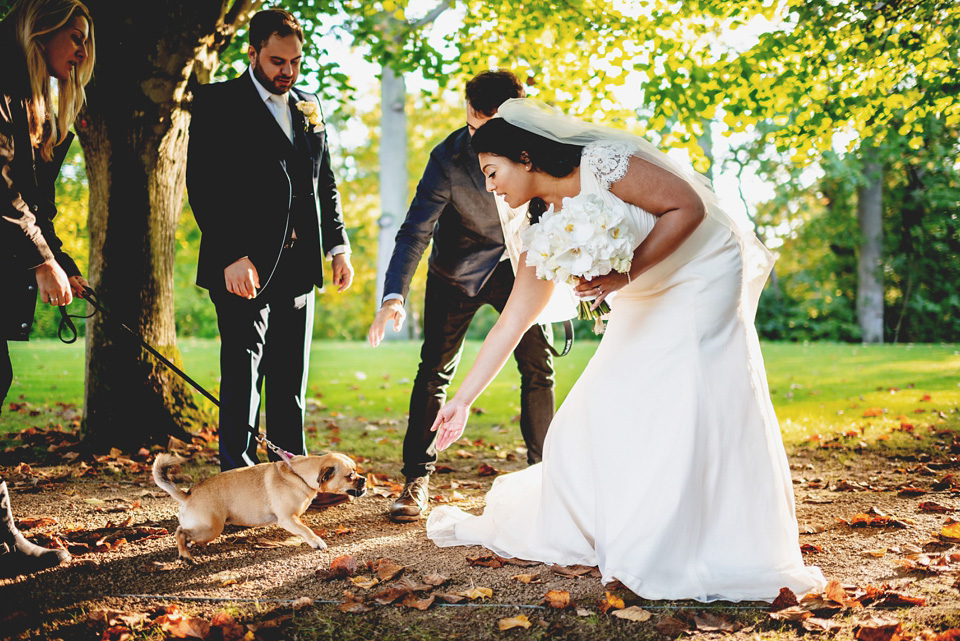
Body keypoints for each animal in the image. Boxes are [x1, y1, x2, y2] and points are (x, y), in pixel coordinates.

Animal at [152, 450, 366, 560]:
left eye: (357, 472)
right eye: (350, 475)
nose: (364, 479)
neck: (299, 474)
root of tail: (188, 495)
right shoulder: (287, 519)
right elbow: (306, 530)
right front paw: (316, 541)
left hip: (206, 529)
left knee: (187, 534)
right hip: (212, 527)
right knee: (180, 532)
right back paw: (185, 555)